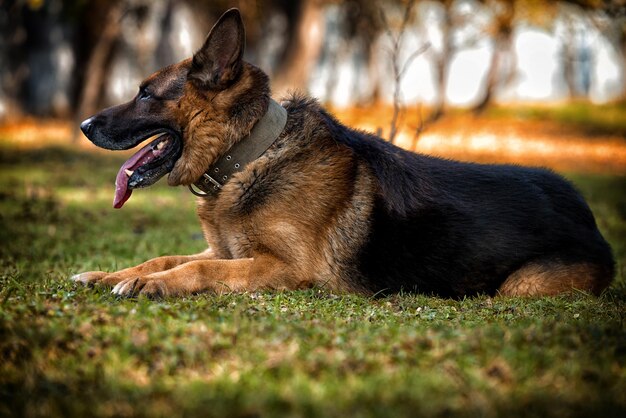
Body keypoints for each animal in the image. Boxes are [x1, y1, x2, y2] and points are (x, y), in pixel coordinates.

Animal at [72, 8, 608, 298]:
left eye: (146, 94)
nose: (84, 125)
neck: (249, 156)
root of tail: (586, 212)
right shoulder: (227, 250)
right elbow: (161, 256)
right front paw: (108, 274)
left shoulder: (282, 269)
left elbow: (196, 268)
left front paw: (151, 285)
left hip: (519, 286)